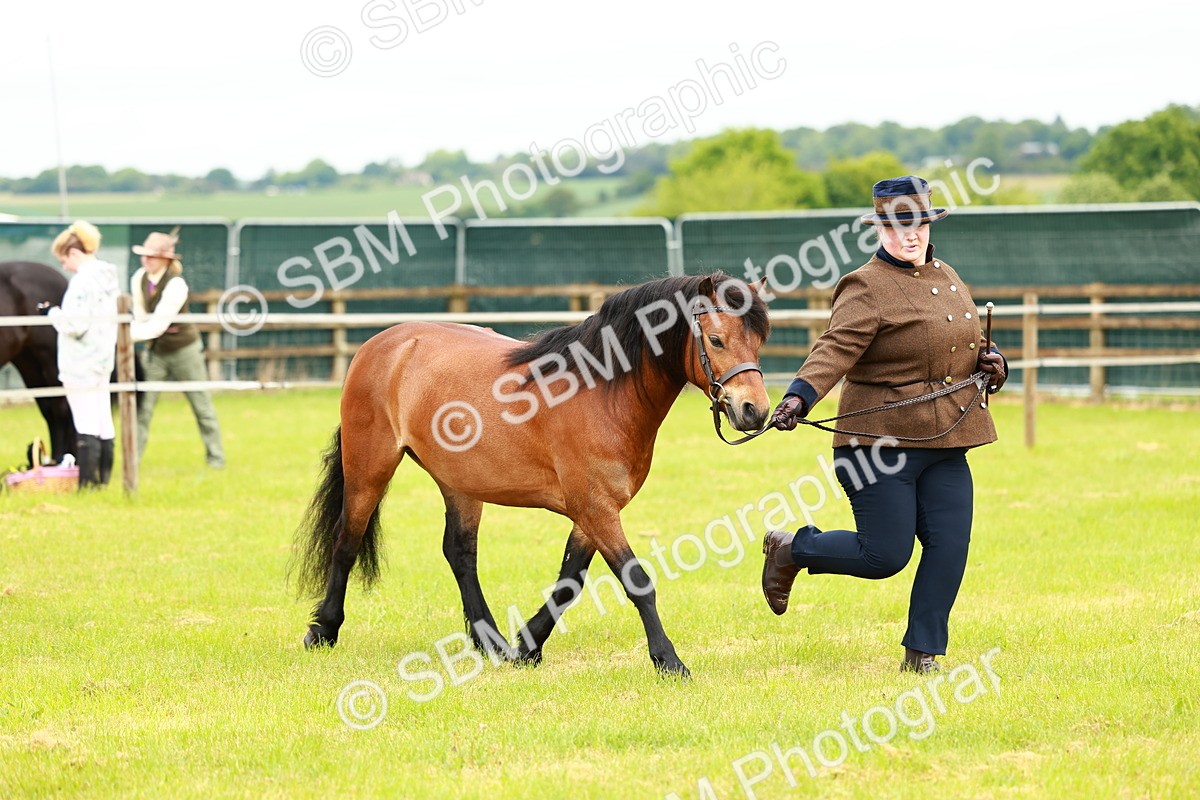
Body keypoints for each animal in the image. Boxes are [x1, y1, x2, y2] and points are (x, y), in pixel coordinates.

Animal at [293, 272, 772, 677]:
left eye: (759, 342)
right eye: (716, 339)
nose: (755, 411)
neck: (601, 393)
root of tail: (382, 344)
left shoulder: (593, 512)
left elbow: (569, 582)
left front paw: (526, 646)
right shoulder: (595, 508)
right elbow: (637, 582)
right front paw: (668, 661)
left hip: (460, 483)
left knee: (460, 554)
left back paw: (490, 642)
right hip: (369, 467)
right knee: (347, 540)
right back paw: (323, 630)